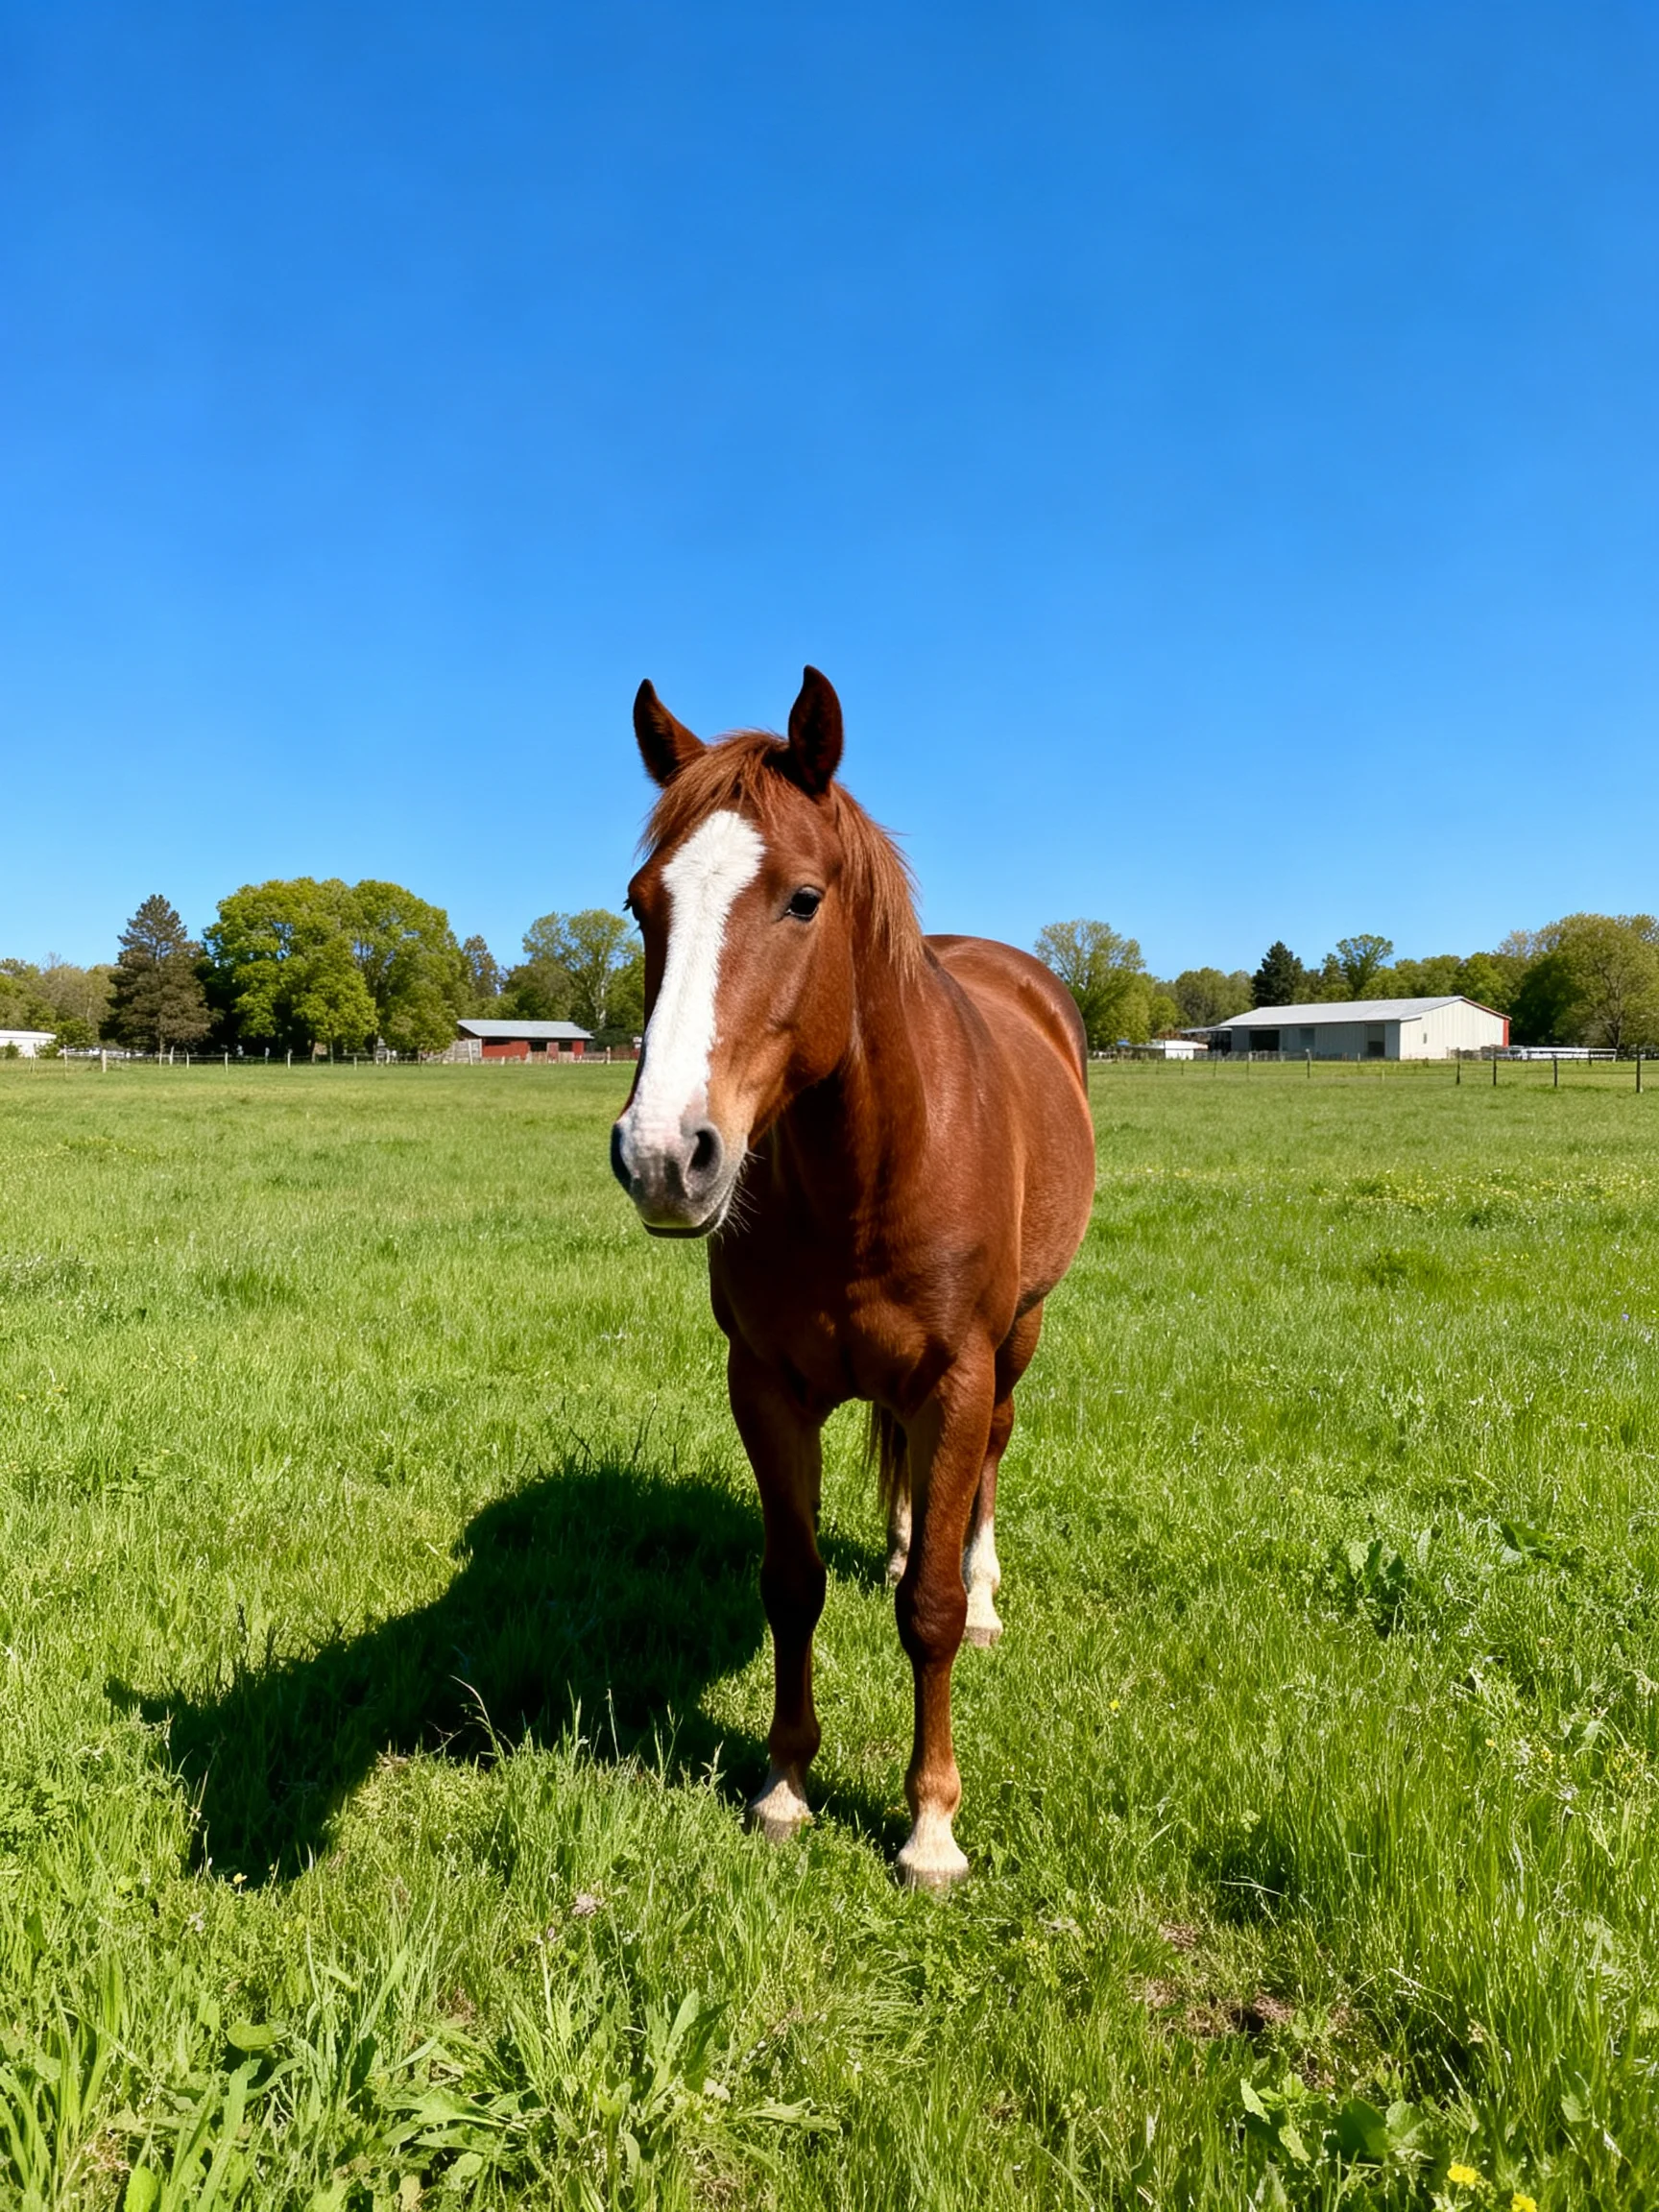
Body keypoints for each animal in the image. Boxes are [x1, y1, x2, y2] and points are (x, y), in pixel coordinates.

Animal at [610, 667, 1095, 1888]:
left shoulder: (959, 1377)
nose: (661, 1155)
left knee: (986, 1472)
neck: (867, 1169)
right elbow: (792, 1583)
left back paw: (982, 1587)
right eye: (642, 905)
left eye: (802, 900)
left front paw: (931, 1824)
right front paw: (786, 1782)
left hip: (1016, 1345)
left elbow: (928, 1614)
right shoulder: (766, 1385)